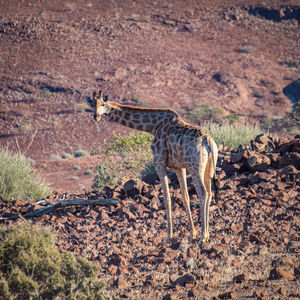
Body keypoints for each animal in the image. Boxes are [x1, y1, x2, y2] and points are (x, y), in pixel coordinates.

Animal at [85, 90, 219, 245]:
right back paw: (206, 234)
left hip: (196, 167)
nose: (96, 116)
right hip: (208, 169)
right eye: (92, 104)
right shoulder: (179, 166)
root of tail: (208, 142)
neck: (153, 127)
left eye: (103, 104)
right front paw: (192, 234)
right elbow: (185, 196)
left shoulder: (159, 162)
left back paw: (204, 236)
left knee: (203, 193)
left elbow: (167, 198)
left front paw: (169, 237)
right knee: (209, 193)